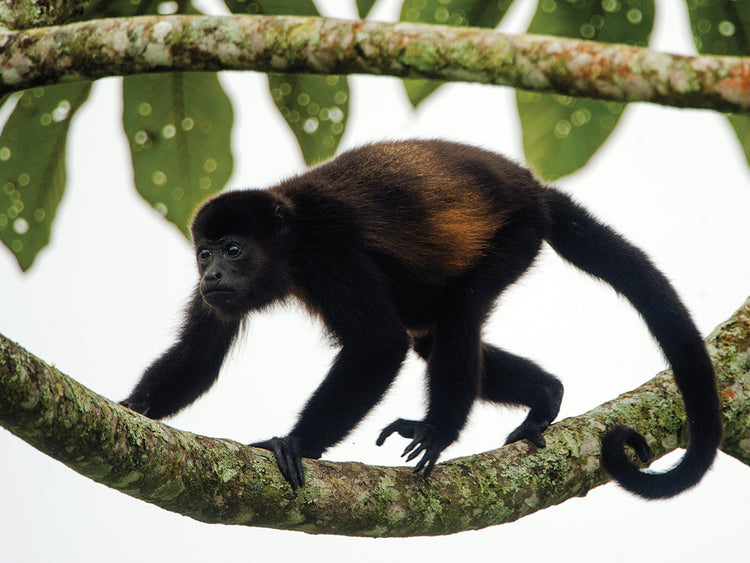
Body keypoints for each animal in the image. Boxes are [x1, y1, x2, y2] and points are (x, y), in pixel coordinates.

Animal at [121, 139, 721, 498]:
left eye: (234, 250)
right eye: (204, 253)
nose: (211, 275)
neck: (288, 243)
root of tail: (532, 187)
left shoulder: (330, 253)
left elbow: (379, 345)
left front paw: (295, 445)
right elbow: (200, 357)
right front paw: (131, 410)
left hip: (518, 232)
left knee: (458, 315)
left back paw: (440, 429)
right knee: (431, 338)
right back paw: (546, 394)